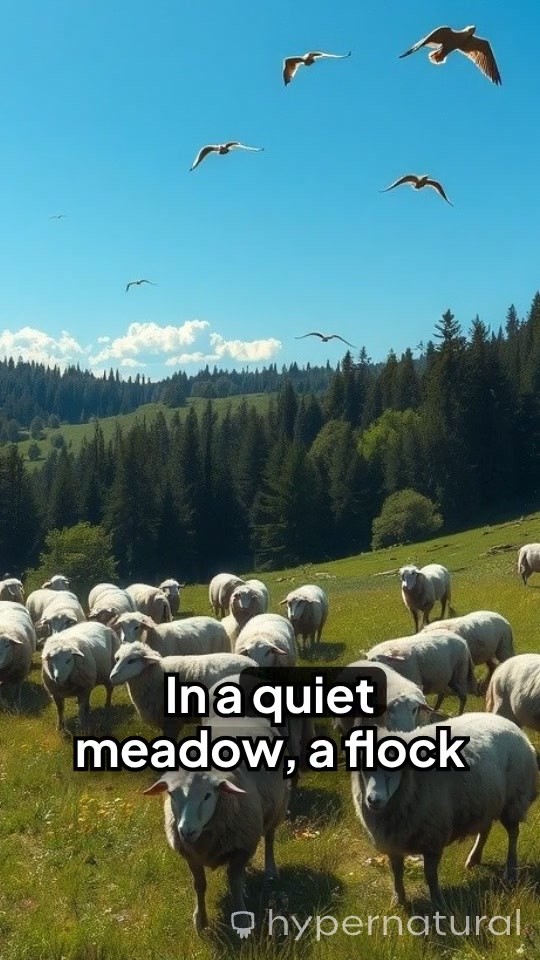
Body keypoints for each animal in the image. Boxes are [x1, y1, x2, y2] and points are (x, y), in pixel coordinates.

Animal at [143, 712, 290, 932]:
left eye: (207, 795)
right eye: (171, 794)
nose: (185, 831)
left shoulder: (242, 846)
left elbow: (234, 883)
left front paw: (242, 919)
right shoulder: (192, 856)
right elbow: (199, 885)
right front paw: (200, 920)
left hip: (278, 806)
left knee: (270, 837)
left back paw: (271, 871)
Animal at [351, 713, 539, 907]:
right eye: (365, 768)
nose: (373, 800)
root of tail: (505, 720)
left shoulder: (433, 838)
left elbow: (430, 876)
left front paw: (438, 903)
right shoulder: (394, 841)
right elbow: (397, 872)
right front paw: (399, 900)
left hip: (514, 800)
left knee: (513, 834)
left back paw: (511, 870)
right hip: (484, 800)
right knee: (485, 829)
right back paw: (474, 859)